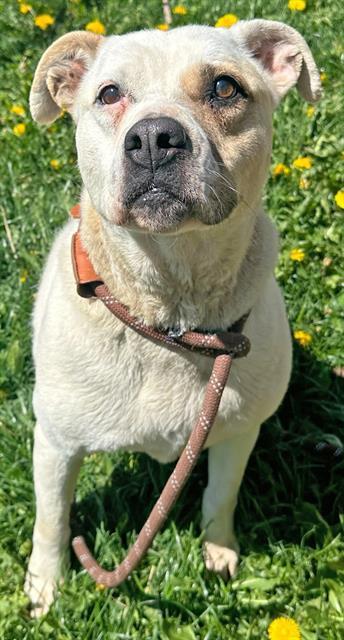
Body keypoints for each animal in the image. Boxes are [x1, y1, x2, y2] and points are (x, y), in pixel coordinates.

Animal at [24, 20, 322, 616]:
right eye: (109, 94)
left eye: (225, 88)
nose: (153, 139)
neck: (170, 314)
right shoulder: (56, 444)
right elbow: (51, 520)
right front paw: (45, 588)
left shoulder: (238, 430)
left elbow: (220, 495)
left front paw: (219, 552)